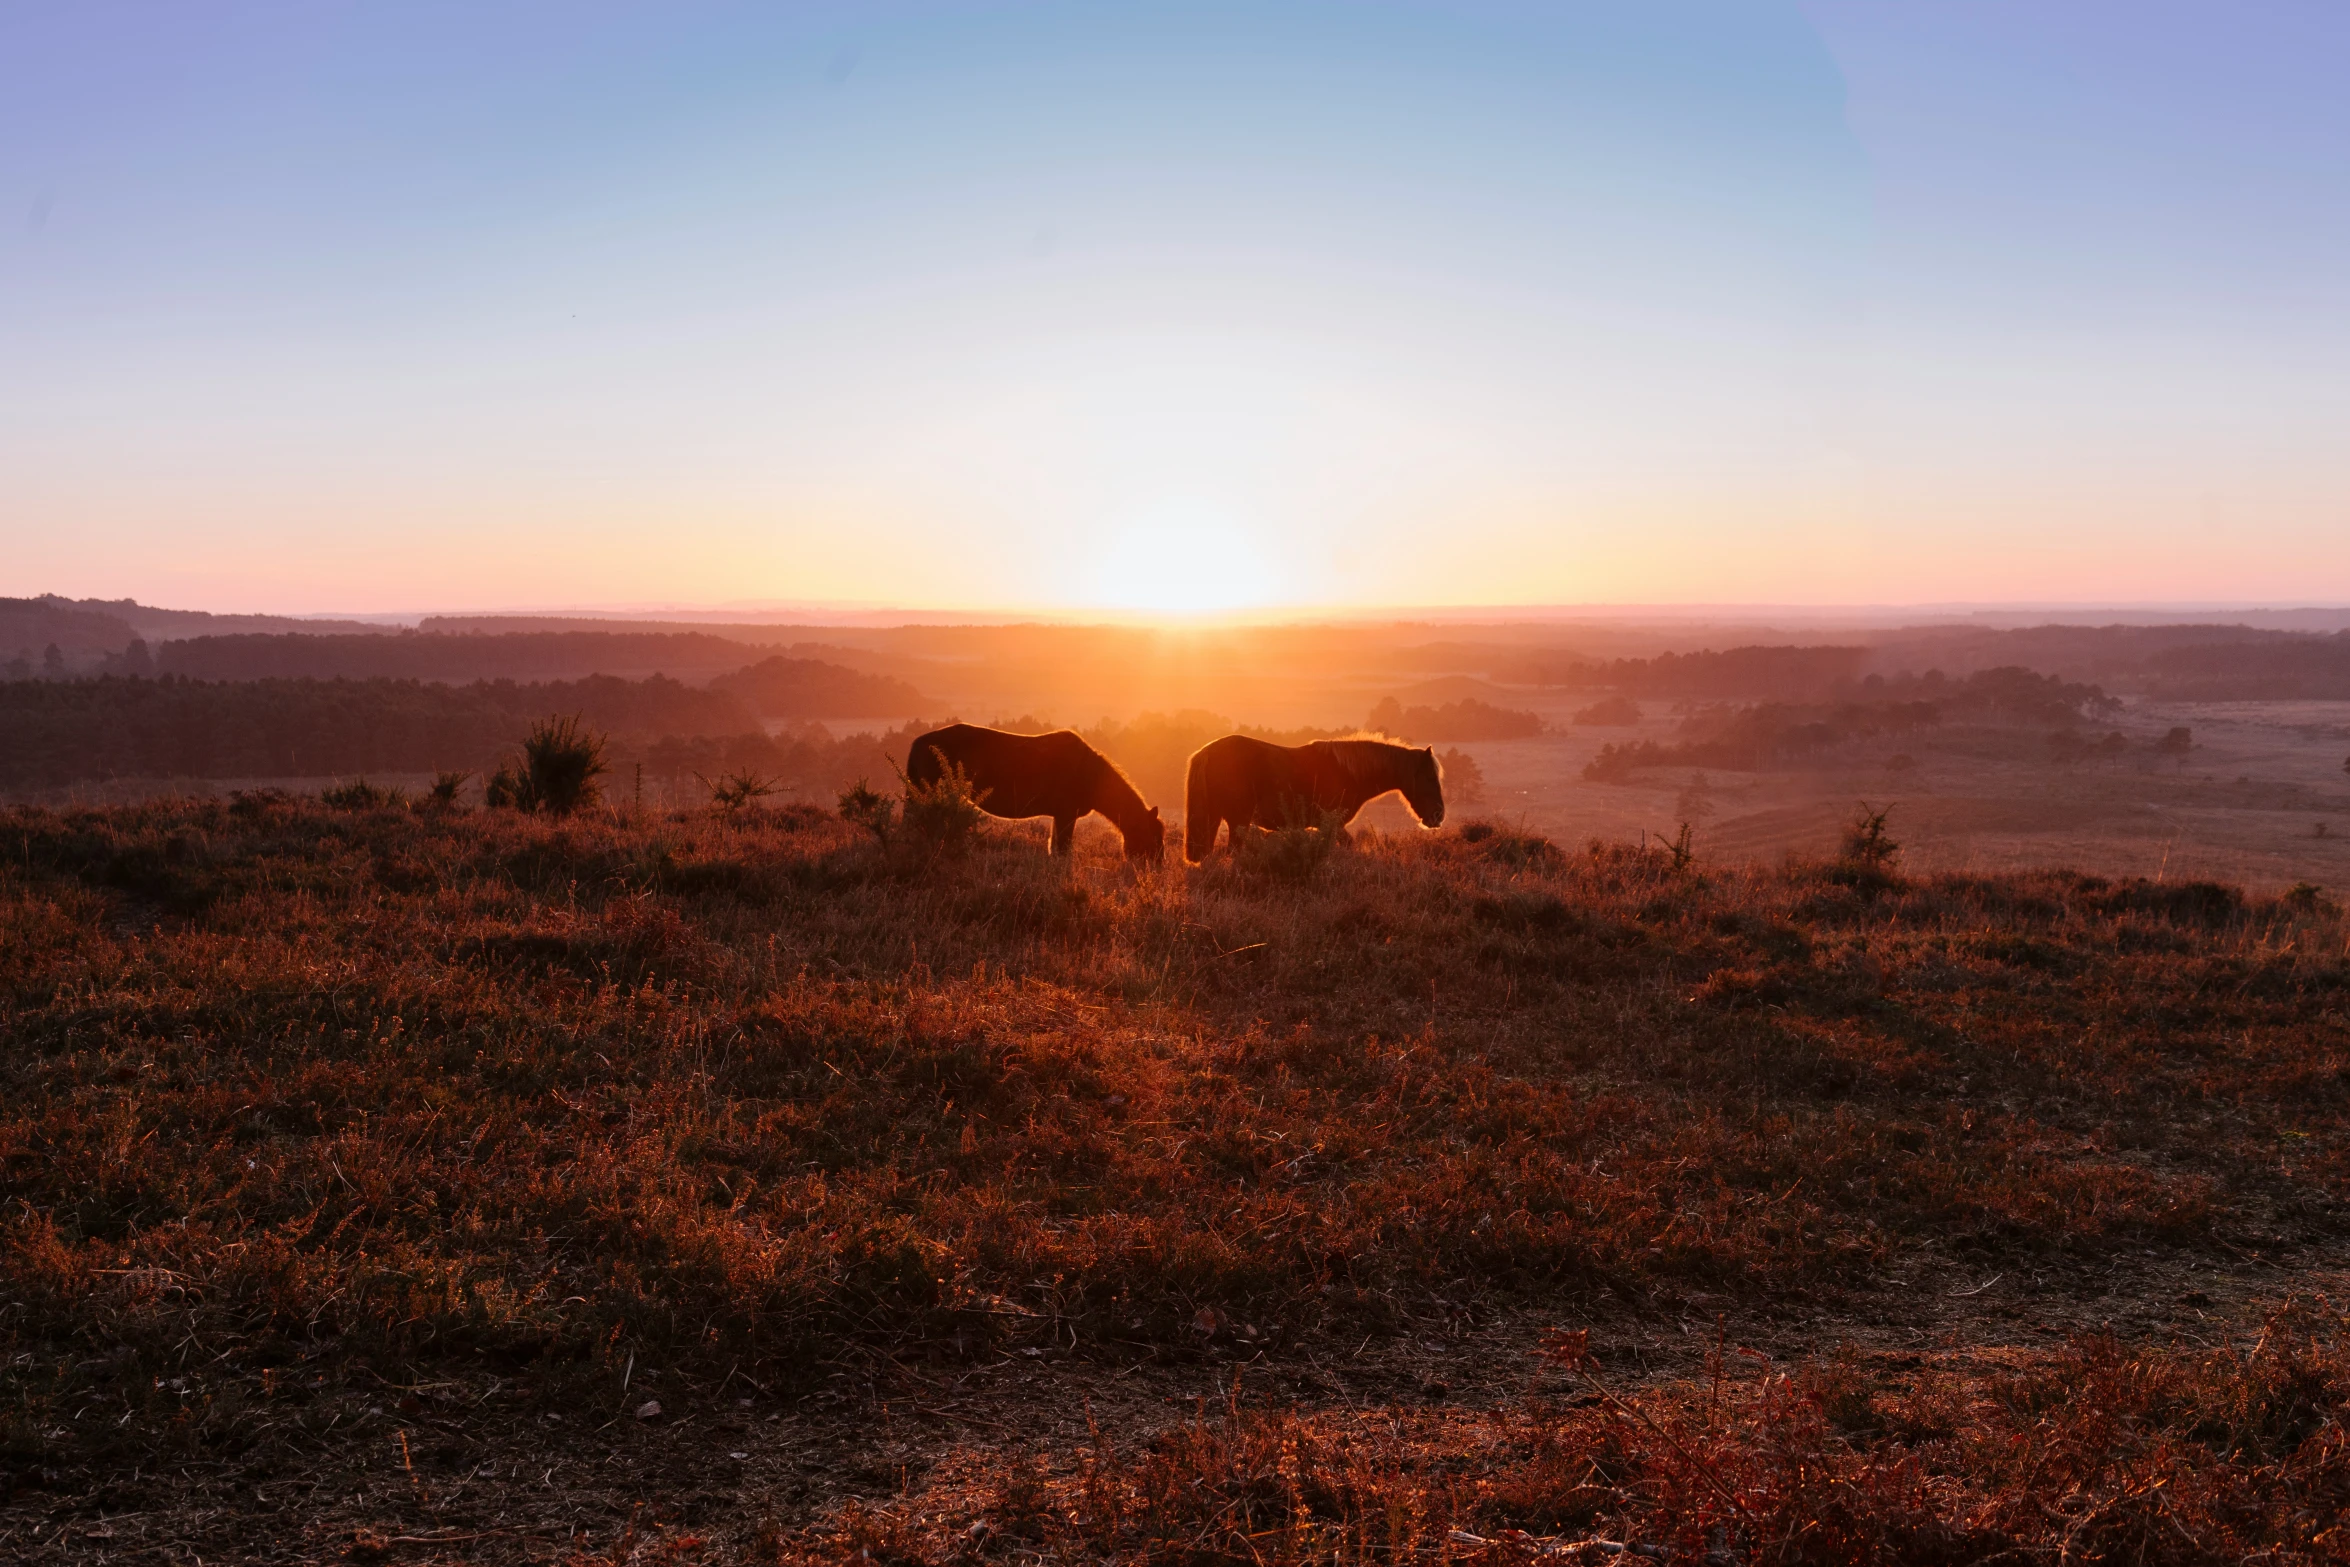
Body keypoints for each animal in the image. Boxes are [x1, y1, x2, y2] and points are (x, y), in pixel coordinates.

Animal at [907, 728, 1165, 864]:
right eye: (1154, 836)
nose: (1159, 866)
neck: (1090, 774)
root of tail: (920, 741)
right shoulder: (1066, 815)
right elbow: (1062, 849)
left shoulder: (1061, 816)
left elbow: (1055, 847)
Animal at [1184, 737, 1438, 864]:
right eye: (1429, 777)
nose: (1437, 817)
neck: (1348, 771)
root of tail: (1206, 751)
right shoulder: (1333, 824)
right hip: (1238, 820)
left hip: (1216, 818)